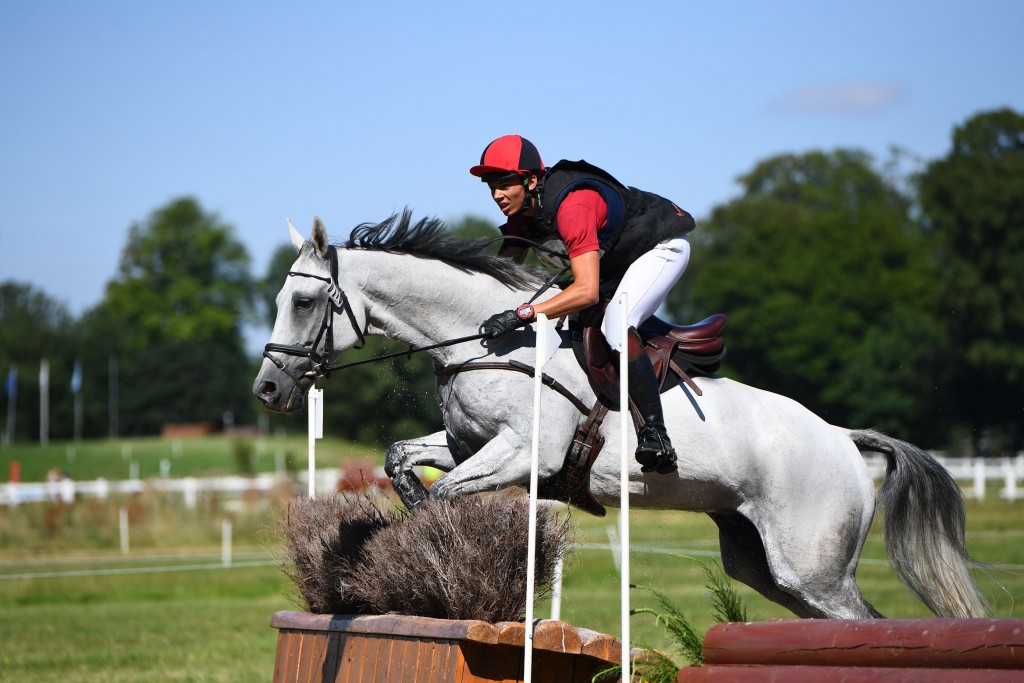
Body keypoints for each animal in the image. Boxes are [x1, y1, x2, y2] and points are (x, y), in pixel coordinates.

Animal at [251, 211, 987, 618]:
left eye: (305, 303)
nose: (267, 387)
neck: (483, 338)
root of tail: (842, 438)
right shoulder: (468, 443)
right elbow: (403, 459)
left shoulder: (523, 453)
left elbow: (445, 495)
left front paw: (434, 548)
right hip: (768, 567)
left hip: (815, 568)